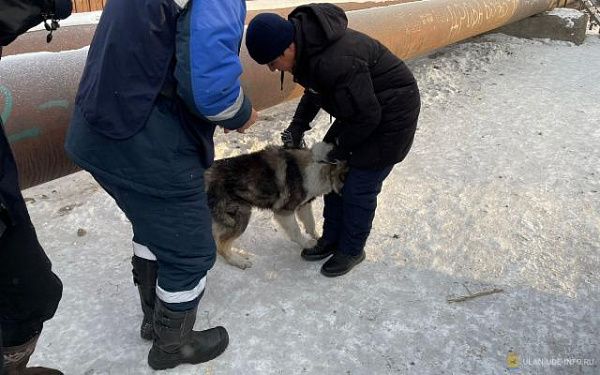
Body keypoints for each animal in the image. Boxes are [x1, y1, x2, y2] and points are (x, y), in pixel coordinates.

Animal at [206, 142, 346, 268]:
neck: (319, 166)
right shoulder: (284, 212)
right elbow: (296, 231)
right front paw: (307, 244)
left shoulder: (304, 206)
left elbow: (310, 224)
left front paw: (318, 238)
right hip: (241, 214)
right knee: (221, 245)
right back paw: (238, 261)